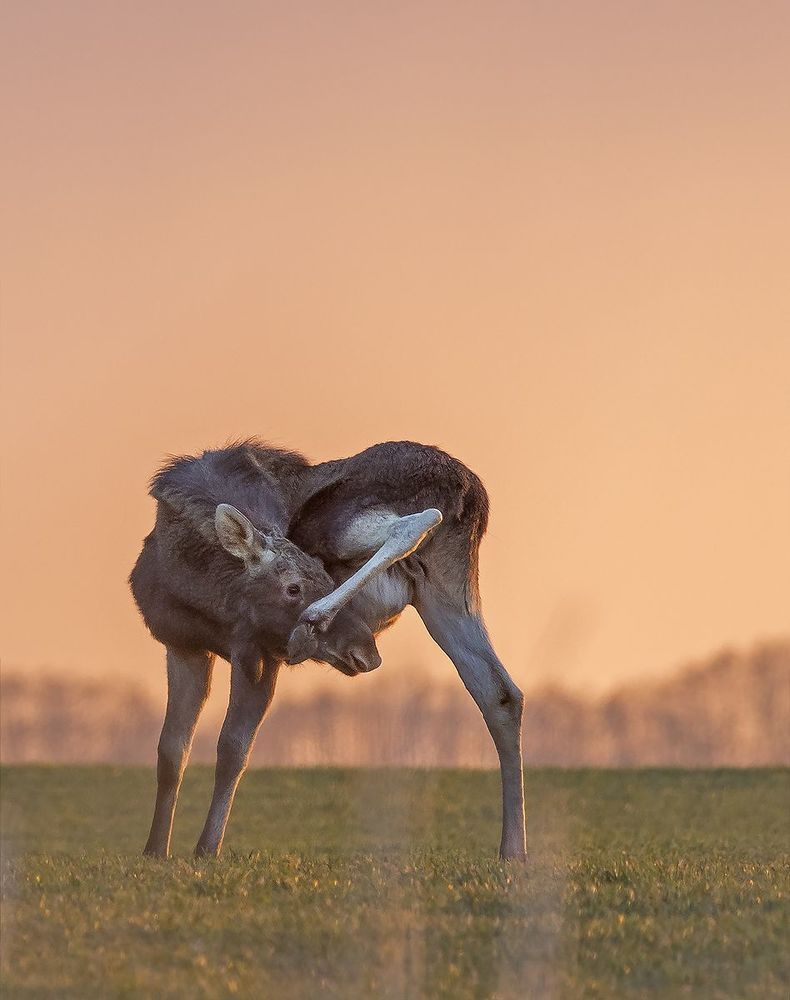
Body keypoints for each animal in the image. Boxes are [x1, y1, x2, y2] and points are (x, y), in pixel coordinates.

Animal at [130, 440, 527, 861]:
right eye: (293, 586)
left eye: (323, 575)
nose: (365, 650)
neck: (195, 588)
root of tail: (471, 492)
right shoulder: (182, 645)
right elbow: (172, 750)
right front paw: (155, 849)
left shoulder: (258, 650)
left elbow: (233, 748)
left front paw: (206, 848)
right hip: (445, 594)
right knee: (501, 693)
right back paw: (513, 848)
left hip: (340, 525)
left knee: (413, 524)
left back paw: (314, 619)